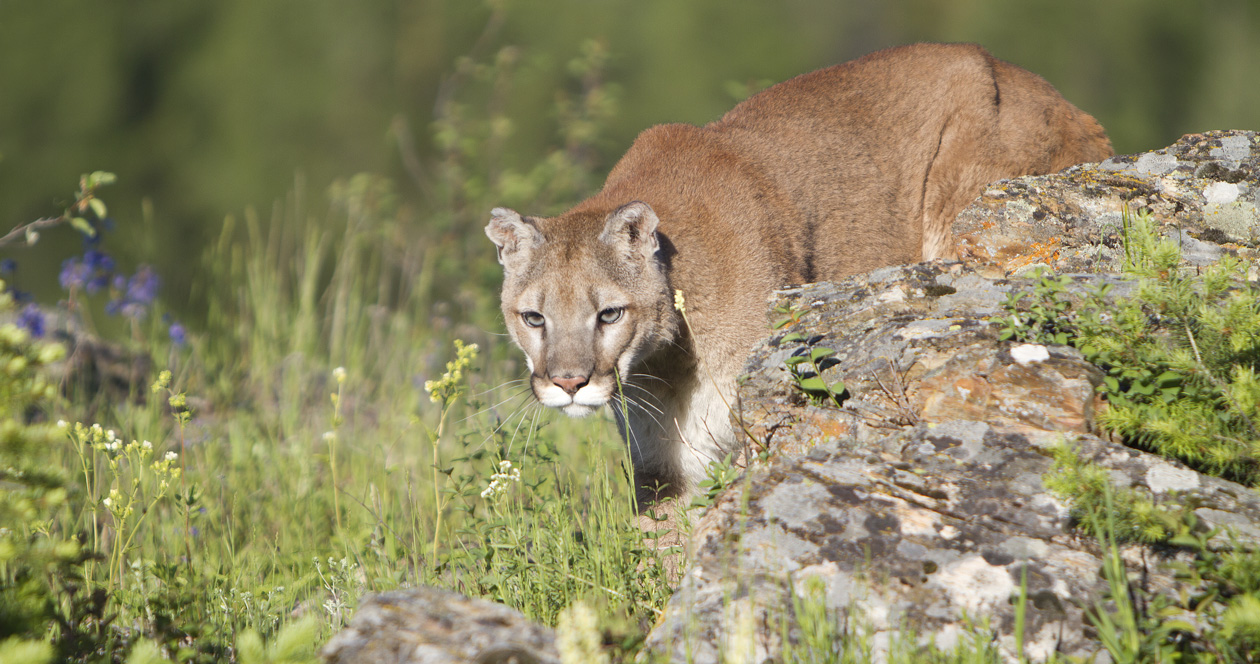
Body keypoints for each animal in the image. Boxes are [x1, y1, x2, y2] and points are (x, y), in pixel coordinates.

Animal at [481, 42, 1113, 509]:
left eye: (609, 314)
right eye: (533, 317)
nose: (568, 383)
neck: (663, 362)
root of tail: (1062, 99)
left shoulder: (739, 424)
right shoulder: (662, 462)